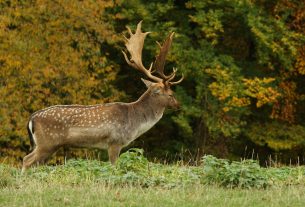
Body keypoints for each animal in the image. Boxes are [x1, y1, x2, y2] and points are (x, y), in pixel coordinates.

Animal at [22, 21, 183, 172]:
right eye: (171, 94)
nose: (178, 105)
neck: (134, 122)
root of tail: (31, 119)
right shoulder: (115, 141)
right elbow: (113, 166)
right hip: (47, 142)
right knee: (26, 160)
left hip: (46, 145)